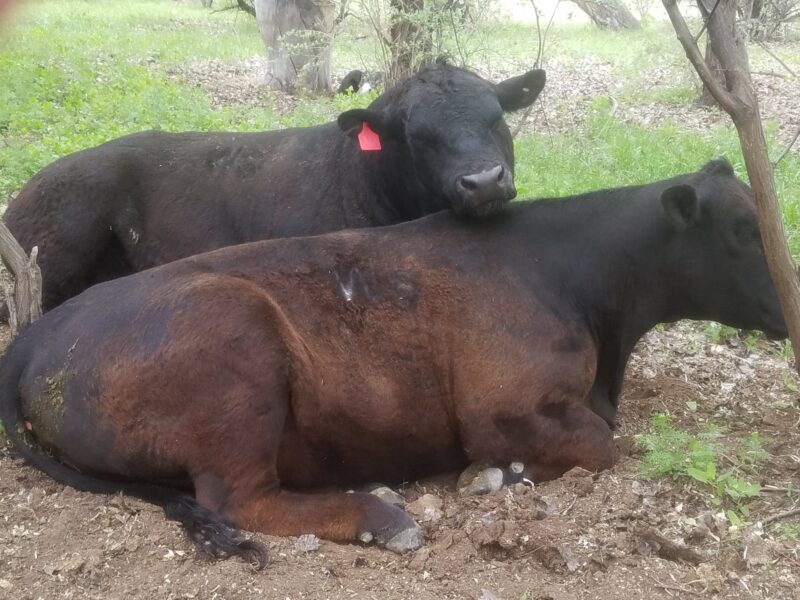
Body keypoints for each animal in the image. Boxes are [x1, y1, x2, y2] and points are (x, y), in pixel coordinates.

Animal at [0, 159, 786, 568]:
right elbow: (603, 446)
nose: (791, 305)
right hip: (237, 348)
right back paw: (377, 511)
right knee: (239, 499)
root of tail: (35, 337)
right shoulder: (501, 406)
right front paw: (497, 474)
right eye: (744, 232)